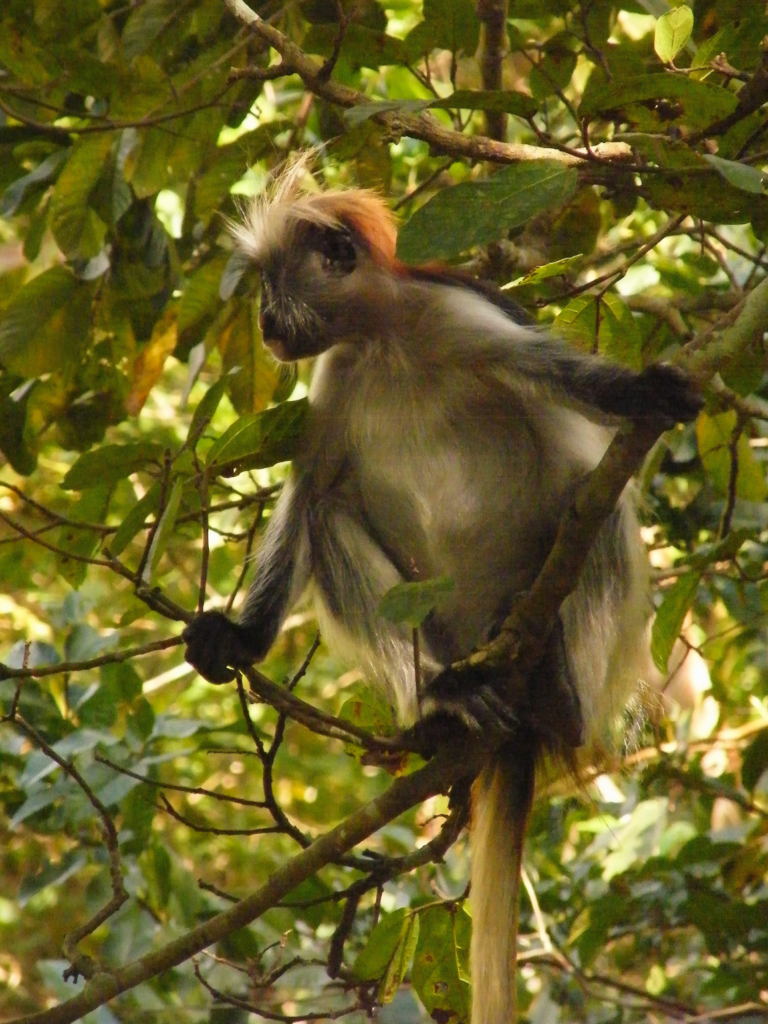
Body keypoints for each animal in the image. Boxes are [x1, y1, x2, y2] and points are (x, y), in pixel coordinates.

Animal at [182, 159, 704, 1024]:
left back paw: (559, 696)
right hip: (446, 635)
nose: (260, 322)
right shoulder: (336, 375)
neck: (387, 339)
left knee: (582, 501)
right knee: (329, 518)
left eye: (270, 287)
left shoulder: (458, 316)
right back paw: (444, 705)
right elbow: (309, 495)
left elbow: (565, 378)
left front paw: (645, 394)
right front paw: (240, 639)